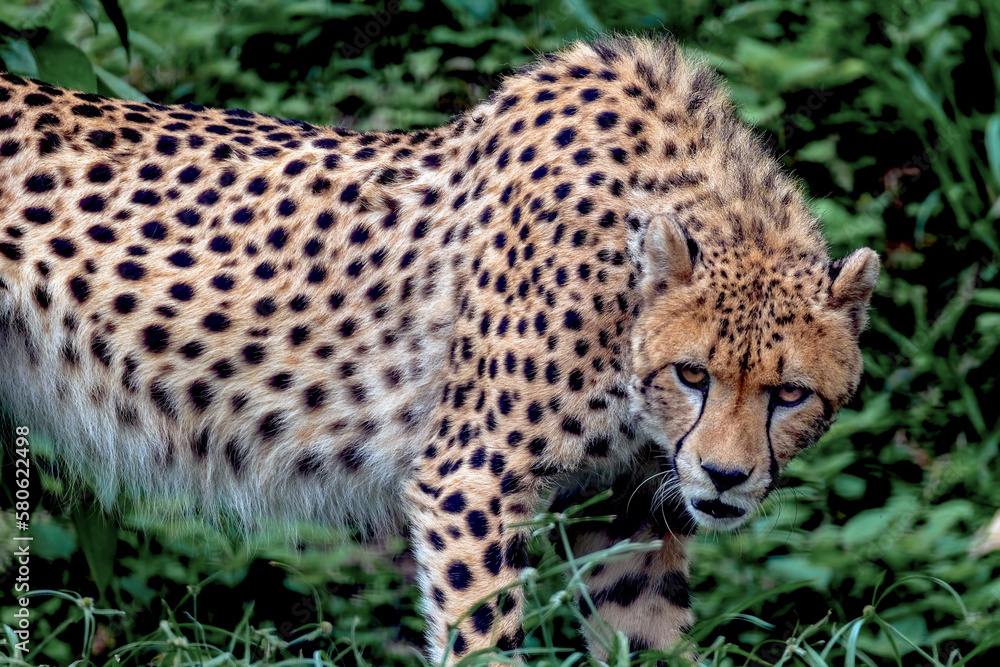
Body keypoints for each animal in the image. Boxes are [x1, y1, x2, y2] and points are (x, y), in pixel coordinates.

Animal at [0, 35, 879, 663]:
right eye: (693, 374)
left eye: (790, 393)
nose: (726, 476)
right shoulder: (471, 482)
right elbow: (487, 641)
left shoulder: (631, 509)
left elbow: (647, 638)